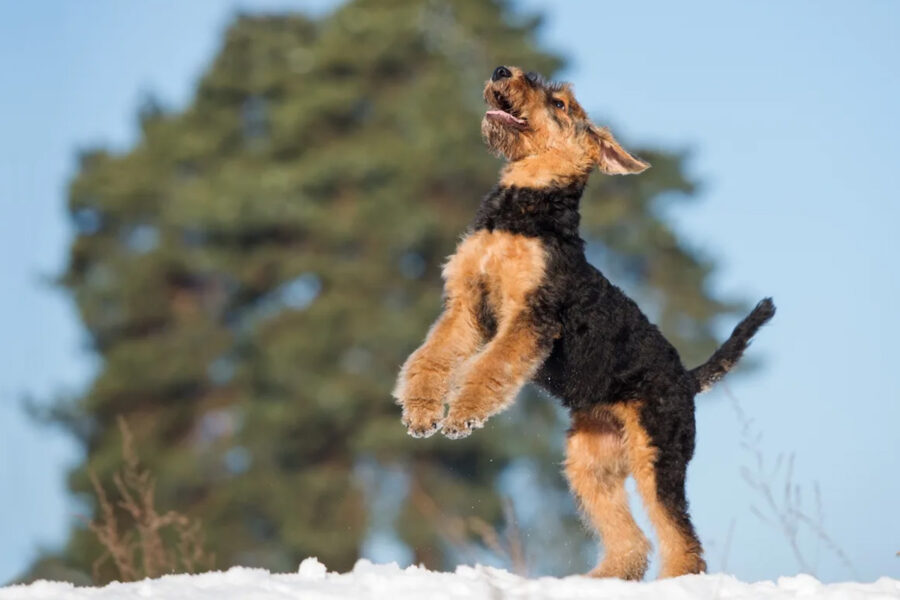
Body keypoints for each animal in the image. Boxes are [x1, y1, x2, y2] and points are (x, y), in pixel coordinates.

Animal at [394, 64, 772, 576]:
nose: (501, 71)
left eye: (561, 105)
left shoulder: (531, 316)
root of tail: (687, 380)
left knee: (681, 541)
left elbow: (490, 368)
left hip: (657, 457)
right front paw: (422, 413)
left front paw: (463, 417)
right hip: (590, 462)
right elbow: (430, 357)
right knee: (632, 542)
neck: (526, 206)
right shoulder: (467, 307)